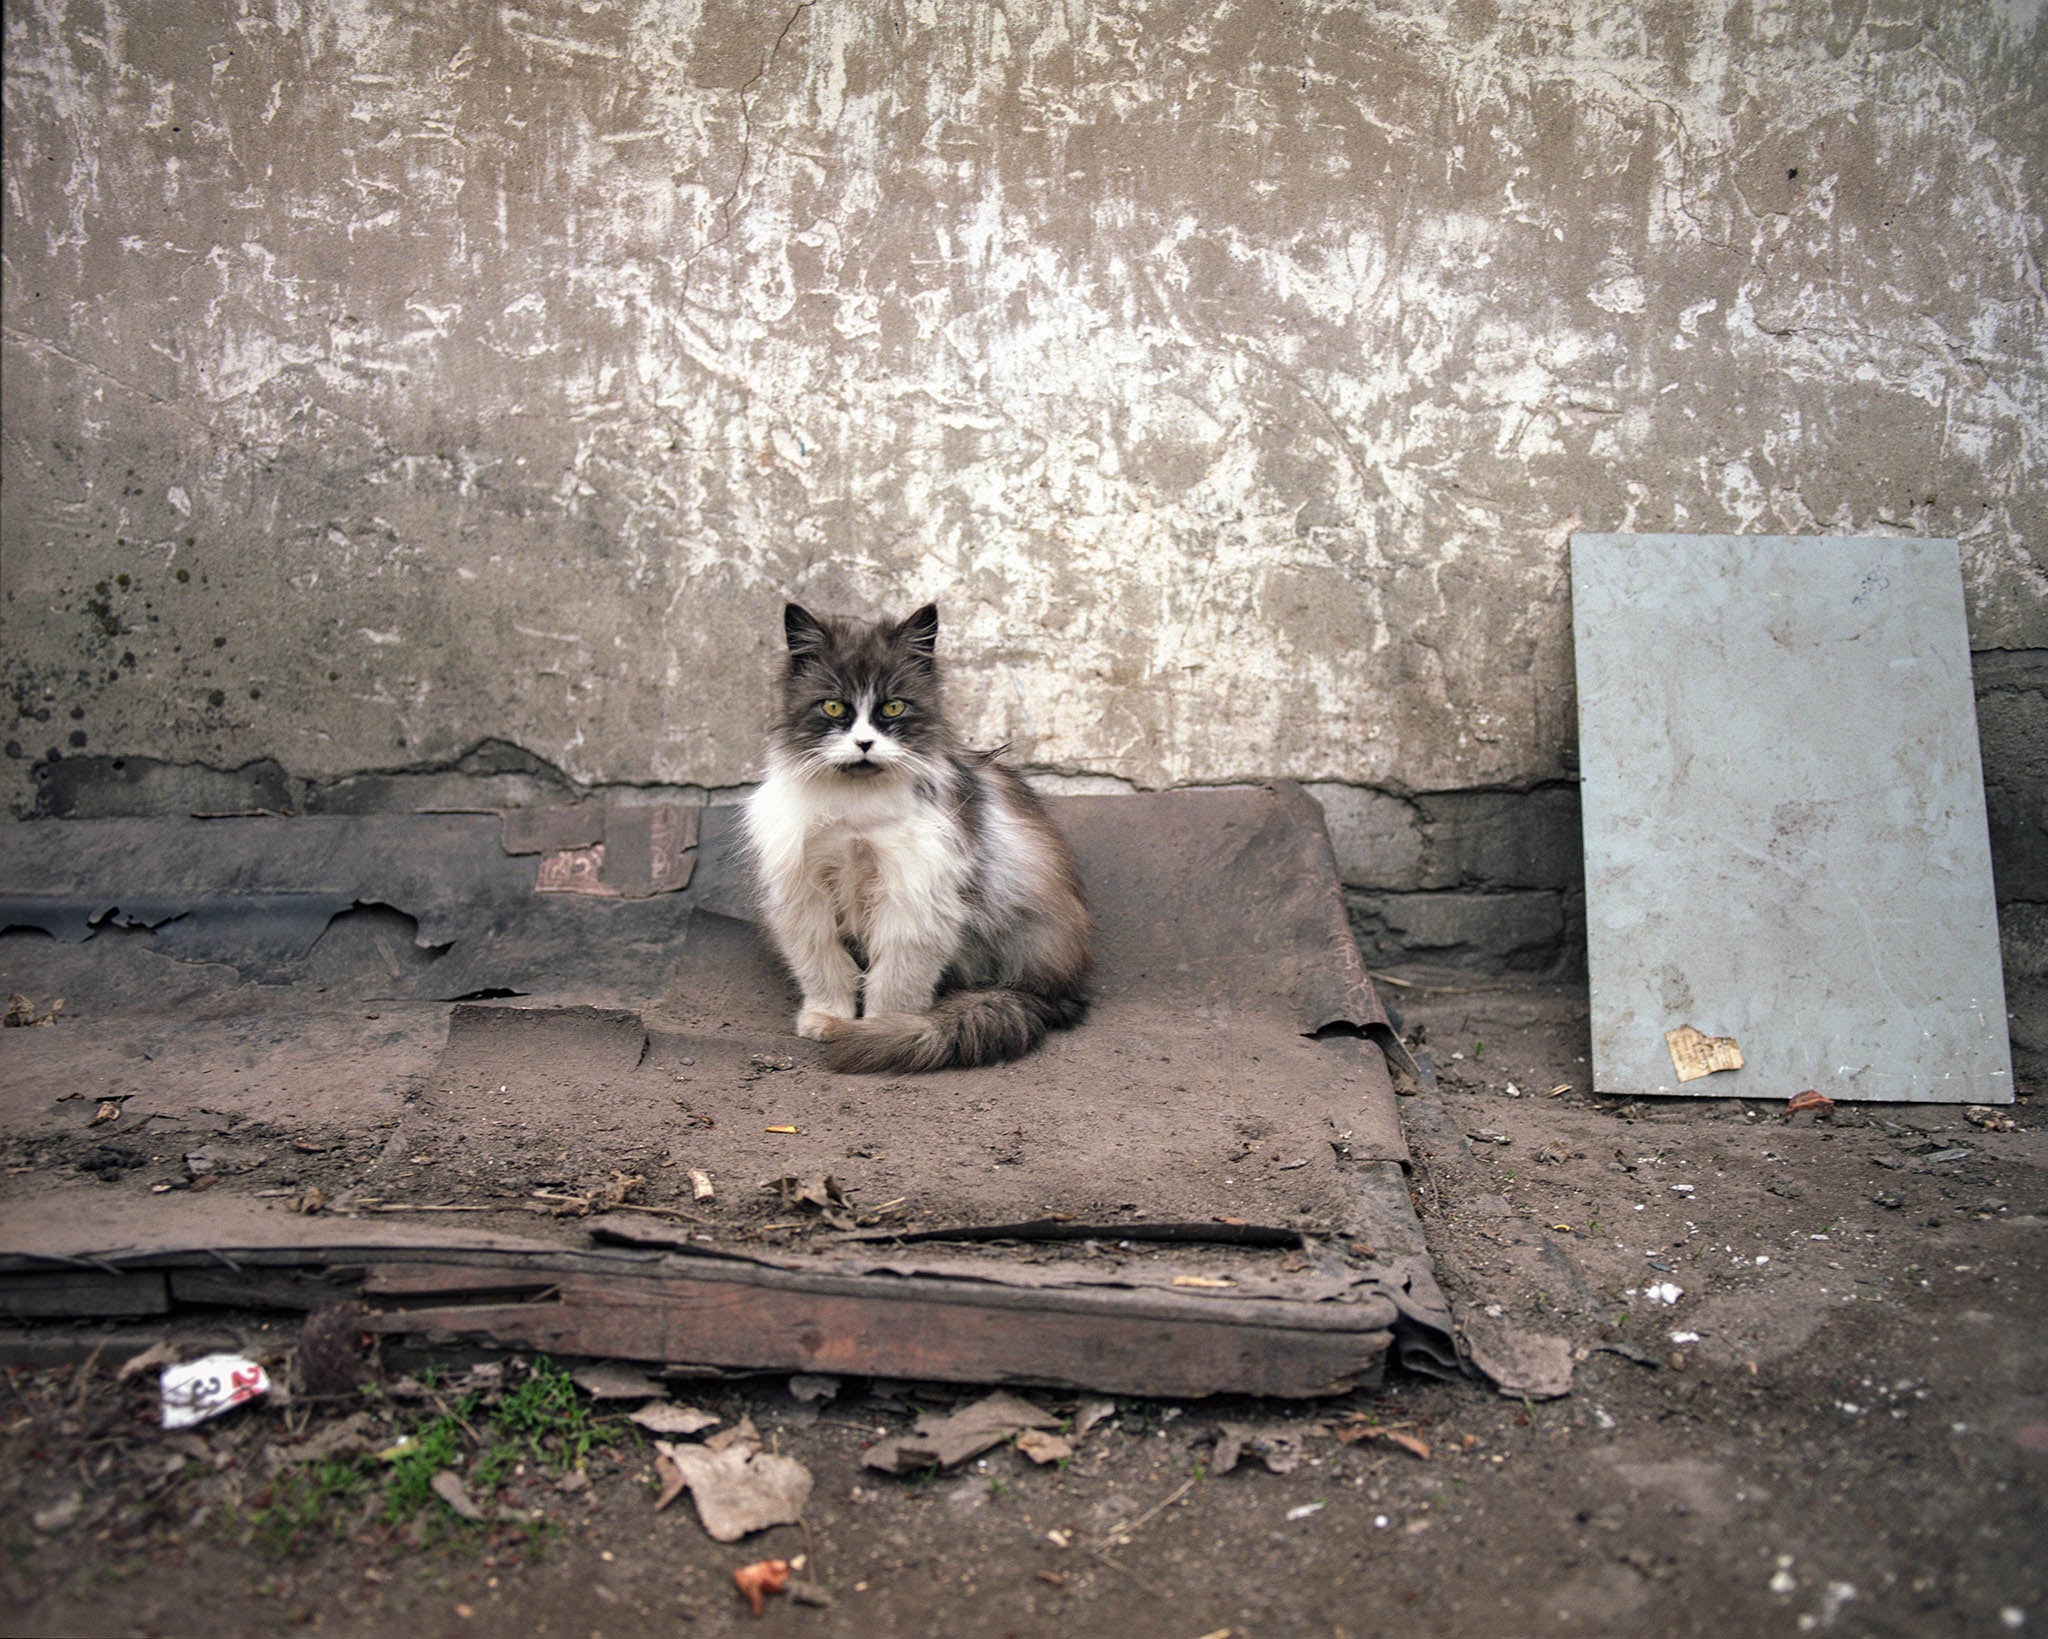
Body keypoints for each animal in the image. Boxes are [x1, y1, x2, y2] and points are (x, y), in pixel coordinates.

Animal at [737, 602, 1089, 1073]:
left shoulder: (915, 897)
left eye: (892, 707)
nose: (864, 744)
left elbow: (895, 979)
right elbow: (825, 968)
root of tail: (1053, 991)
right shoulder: (806, 894)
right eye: (833, 707)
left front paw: (883, 1027)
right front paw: (829, 1020)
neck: (857, 811)